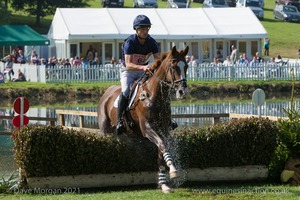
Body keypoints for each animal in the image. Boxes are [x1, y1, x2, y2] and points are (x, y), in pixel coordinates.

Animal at [97, 45, 189, 194]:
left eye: (186, 66)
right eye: (173, 66)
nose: (183, 92)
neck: (154, 96)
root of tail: (106, 93)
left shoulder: (163, 129)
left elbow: (162, 149)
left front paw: (164, 184)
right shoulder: (147, 128)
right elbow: (162, 144)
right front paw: (173, 169)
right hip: (107, 132)